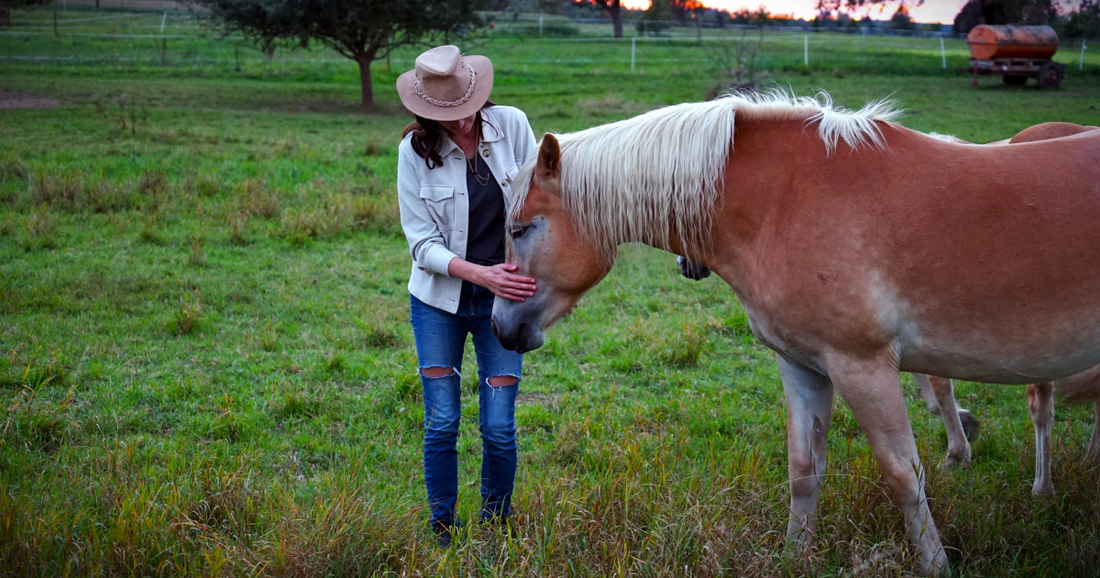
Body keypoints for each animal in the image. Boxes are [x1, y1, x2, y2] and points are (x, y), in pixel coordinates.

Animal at [490, 92, 1100, 575]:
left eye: (520, 229)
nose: (501, 326)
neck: (782, 203)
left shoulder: (862, 365)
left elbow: (904, 475)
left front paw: (935, 566)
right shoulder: (803, 364)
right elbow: (805, 470)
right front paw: (795, 556)